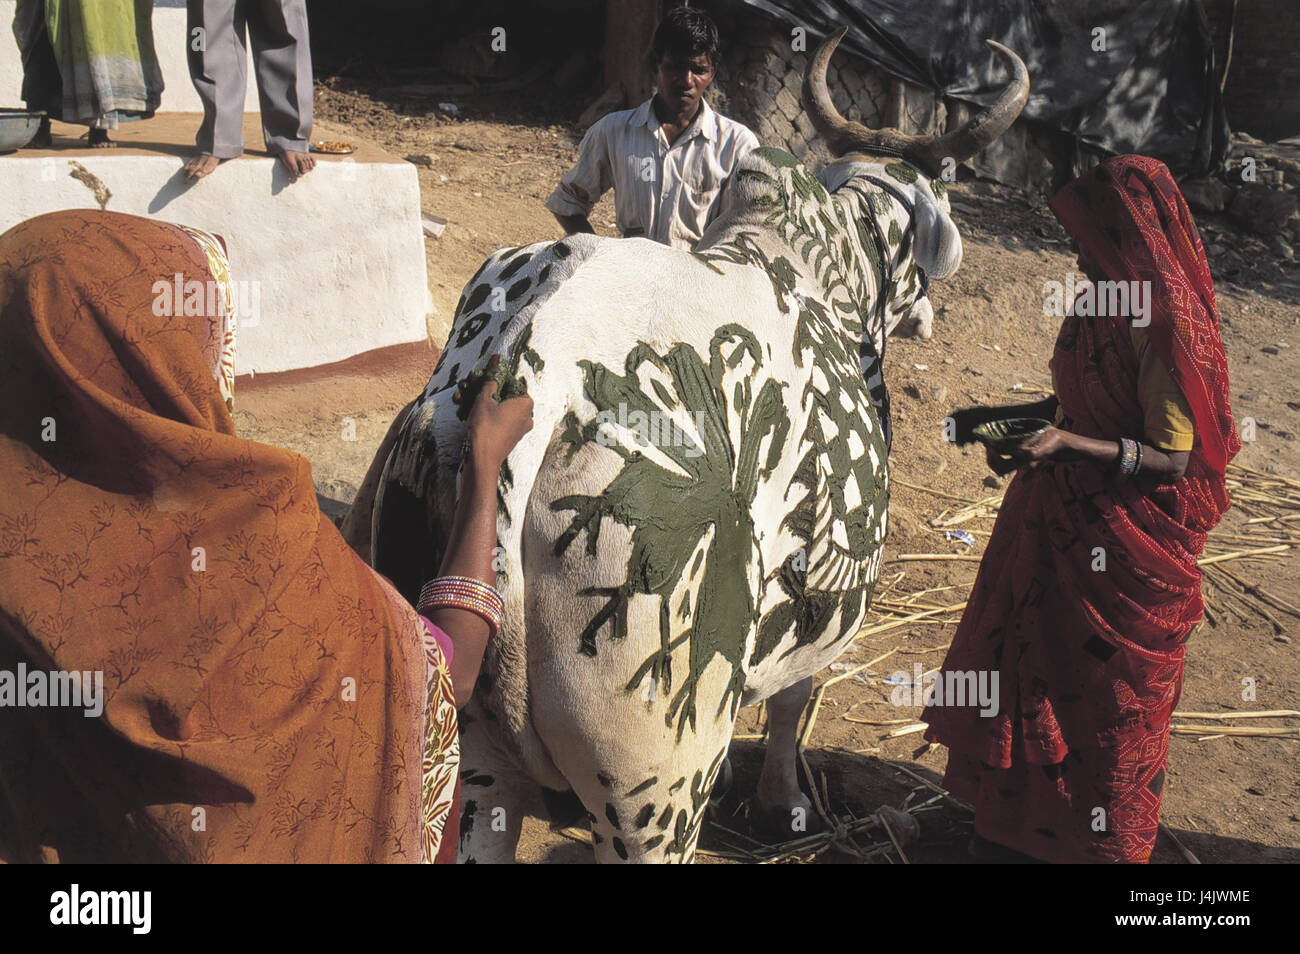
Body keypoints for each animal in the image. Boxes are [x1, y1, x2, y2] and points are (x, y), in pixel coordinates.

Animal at [364, 33, 1024, 863]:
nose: (927, 317)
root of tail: (526, 373)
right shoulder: (828, 605)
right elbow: (794, 702)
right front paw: (785, 803)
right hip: (659, 790)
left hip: (477, 767)